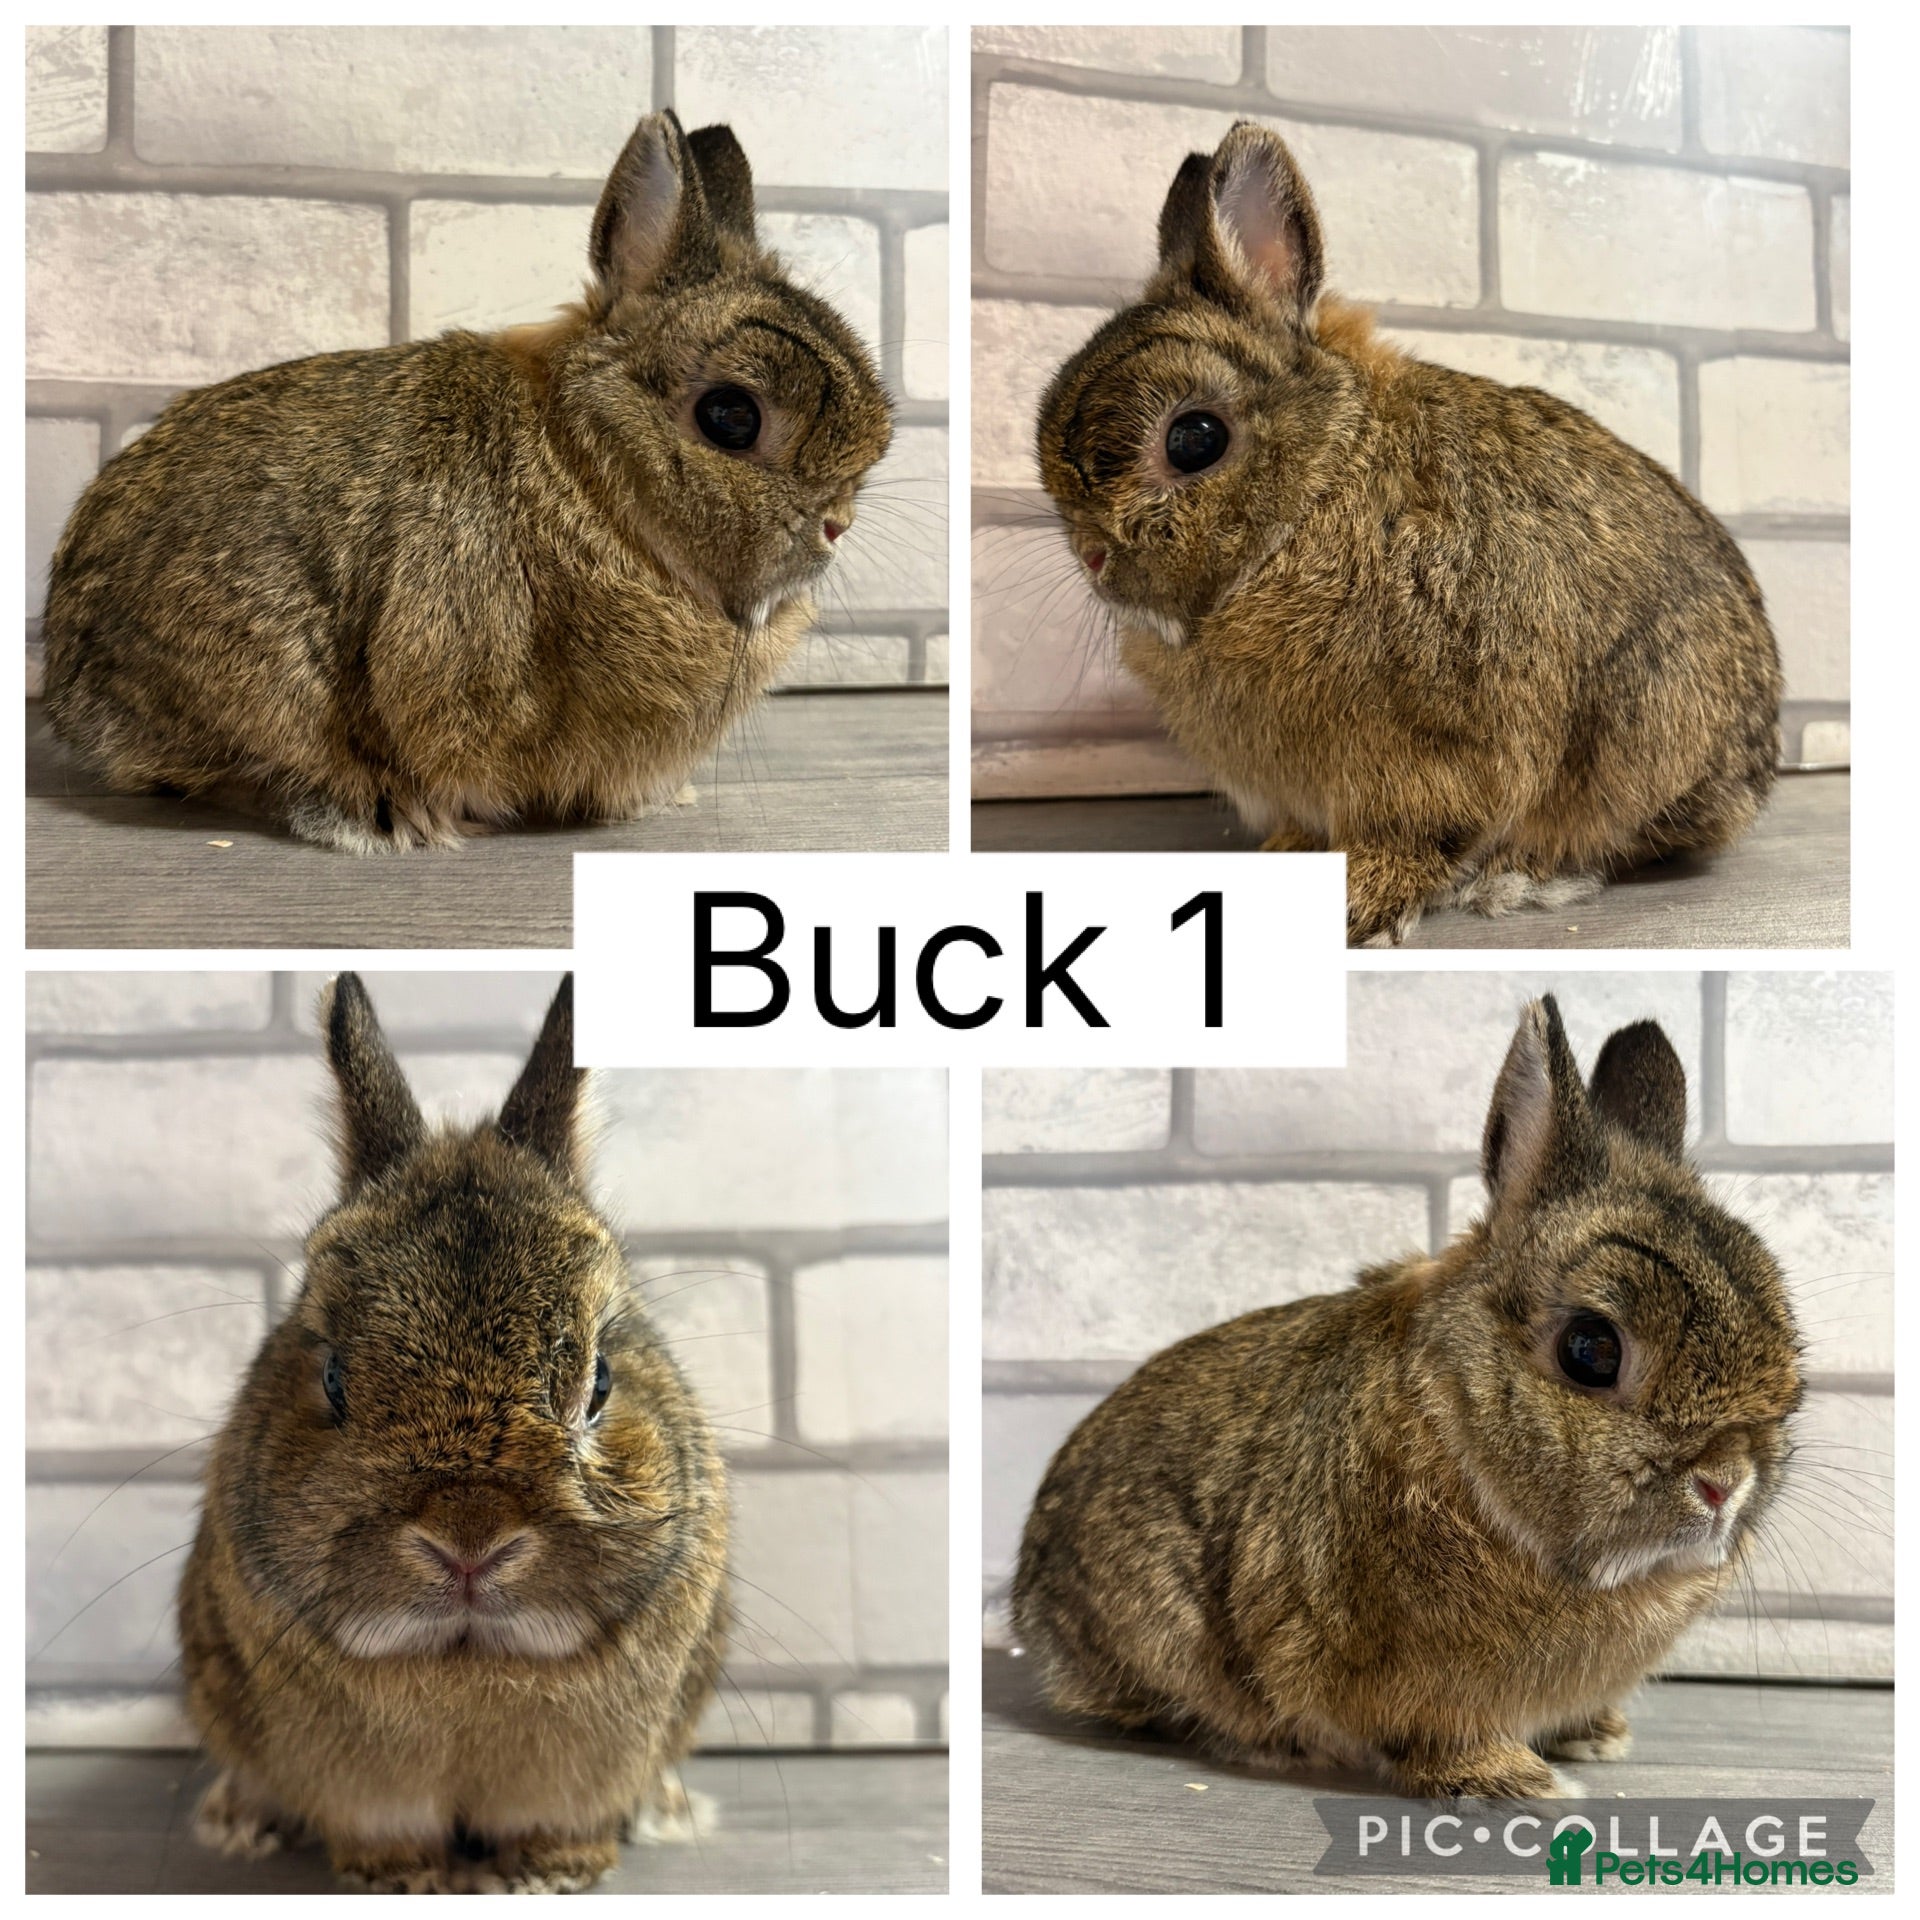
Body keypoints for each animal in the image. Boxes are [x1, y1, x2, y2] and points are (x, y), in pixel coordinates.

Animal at [41, 109, 894, 853]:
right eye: (730, 417)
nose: (837, 524)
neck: (588, 477)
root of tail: (68, 679)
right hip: (261, 674)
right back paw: (380, 814)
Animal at [176, 974, 729, 1892]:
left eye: (600, 1382)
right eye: (333, 1377)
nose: (470, 1540)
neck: (469, 1667)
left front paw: (550, 1873)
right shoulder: (366, 1791)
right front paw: (403, 1880)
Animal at [1034, 123, 1782, 945]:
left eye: (1194, 440)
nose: (1094, 557)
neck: (1324, 485)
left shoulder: (1440, 748)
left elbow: (1417, 833)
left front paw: (1364, 903)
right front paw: (1285, 859)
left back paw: (1519, 875)